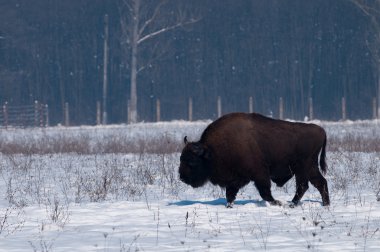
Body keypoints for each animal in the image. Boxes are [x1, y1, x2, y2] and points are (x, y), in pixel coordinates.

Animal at [178, 113, 330, 208]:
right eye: (181, 158)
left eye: (191, 161)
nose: (182, 177)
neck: (212, 150)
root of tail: (321, 131)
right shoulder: (236, 179)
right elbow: (230, 194)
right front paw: (229, 206)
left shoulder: (260, 174)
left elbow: (265, 192)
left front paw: (277, 203)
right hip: (308, 168)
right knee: (318, 183)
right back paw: (324, 204)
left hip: (304, 168)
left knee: (305, 186)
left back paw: (293, 204)